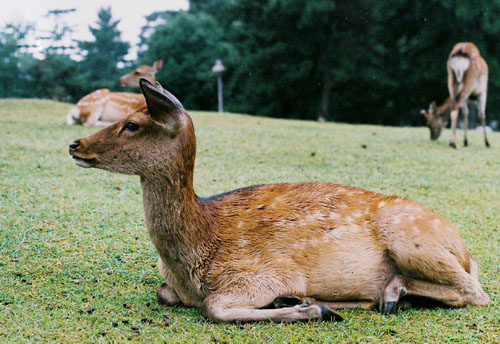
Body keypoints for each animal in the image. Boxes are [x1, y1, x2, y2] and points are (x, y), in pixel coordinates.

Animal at [68, 79, 490, 324]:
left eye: (132, 125)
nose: (75, 145)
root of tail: (467, 250)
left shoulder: (263, 272)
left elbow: (212, 306)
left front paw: (313, 309)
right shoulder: (175, 287)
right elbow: (164, 293)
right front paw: (308, 304)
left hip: (413, 240)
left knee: (475, 292)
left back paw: (386, 294)